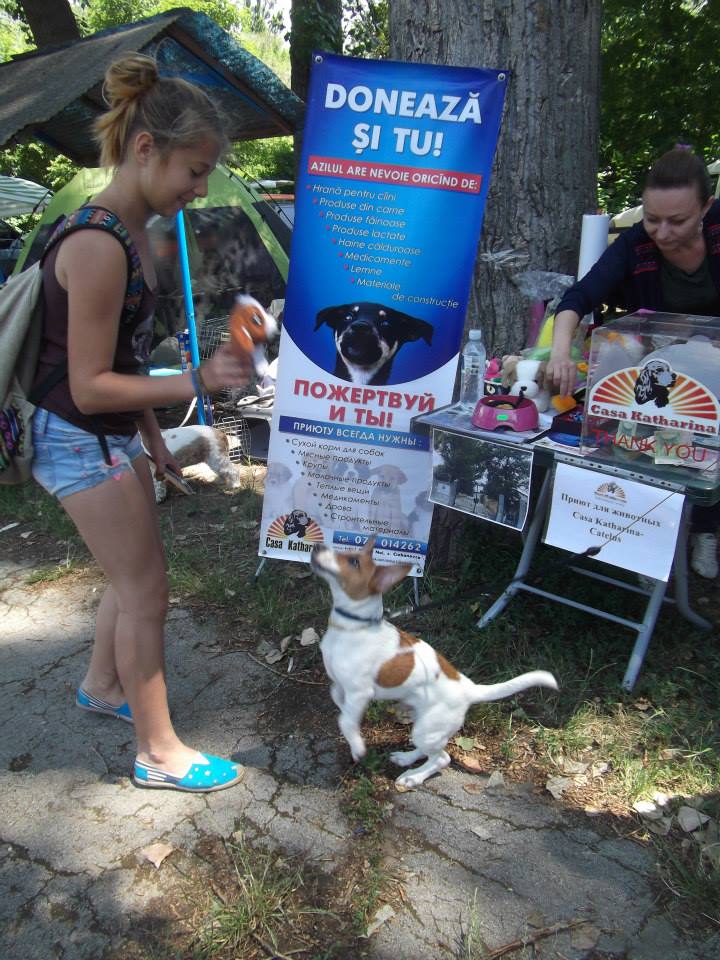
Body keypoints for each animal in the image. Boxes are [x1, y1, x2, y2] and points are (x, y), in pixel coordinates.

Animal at [310, 538, 558, 790]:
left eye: (353, 562)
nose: (317, 546)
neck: (353, 626)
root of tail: (469, 688)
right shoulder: (340, 685)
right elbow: (338, 700)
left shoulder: (359, 692)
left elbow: (345, 720)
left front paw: (357, 746)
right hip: (423, 725)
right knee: (429, 751)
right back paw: (406, 758)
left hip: (428, 729)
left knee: (441, 759)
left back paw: (413, 776)